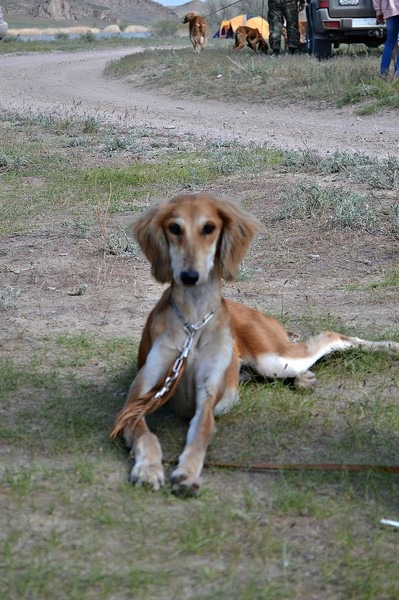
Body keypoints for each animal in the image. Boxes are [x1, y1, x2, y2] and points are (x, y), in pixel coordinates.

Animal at [111, 193, 399, 496]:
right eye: (174, 228)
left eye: (209, 228)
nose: (189, 276)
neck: (193, 320)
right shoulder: (137, 399)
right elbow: (146, 435)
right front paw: (148, 469)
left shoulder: (208, 394)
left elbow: (200, 433)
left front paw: (187, 472)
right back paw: (303, 378)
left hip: (273, 358)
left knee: (331, 337)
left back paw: (388, 347)